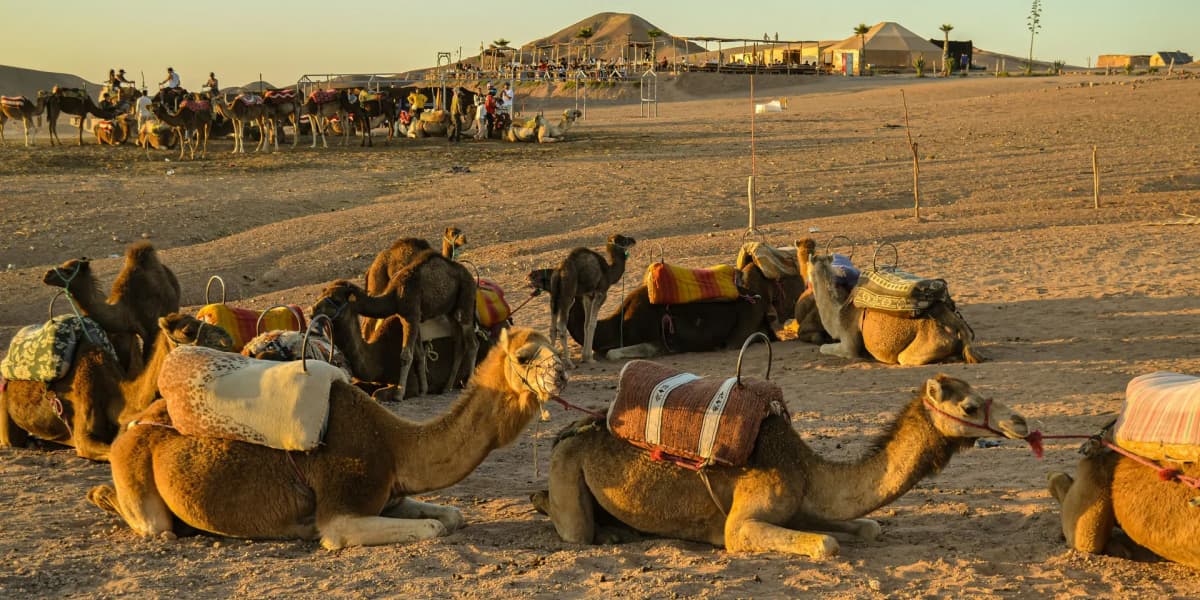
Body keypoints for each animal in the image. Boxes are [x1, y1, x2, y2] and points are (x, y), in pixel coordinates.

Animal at [87, 327, 566, 548]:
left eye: (554, 345)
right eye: (525, 355)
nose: (561, 373)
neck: (395, 445)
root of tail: (133, 427)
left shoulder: (389, 495)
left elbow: (451, 516)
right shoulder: (341, 508)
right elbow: (431, 527)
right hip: (140, 481)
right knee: (153, 525)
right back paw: (103, 497)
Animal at [339, 250, 478, 396]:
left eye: (335, 297)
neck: (394, 295)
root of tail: (471, 277)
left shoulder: (411, 314)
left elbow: (406, 356)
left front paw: (399, 394)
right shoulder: (410, 318)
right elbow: (419, 354)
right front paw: (423, 390)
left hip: (466, 299)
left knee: (473, 344)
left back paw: (469, 383)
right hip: (451, 312)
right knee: (459, 345)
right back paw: (447, 387)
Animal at [533, 374, 1029, 557]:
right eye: (969, 406)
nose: (1020, 423)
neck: (807, 469)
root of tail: (571, 430)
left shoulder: (802, 505)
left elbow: (868, 527)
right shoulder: (743, 523)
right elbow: (826, 544)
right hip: (565, 466)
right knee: (571, 526)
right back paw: (603, 532)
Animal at [549, 234, 636, 367]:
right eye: (624, 240)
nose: (633, 240)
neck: (608, 273)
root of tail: (559, 272)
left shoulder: (587, 296)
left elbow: (586, 323)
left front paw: (584, 357)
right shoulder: (601, 293)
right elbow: (592, 324)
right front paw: (590, 358)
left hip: (554, 296)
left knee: (553, 327)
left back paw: (555, 360)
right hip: (568, 296)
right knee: (562, 326)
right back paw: (569, 363)